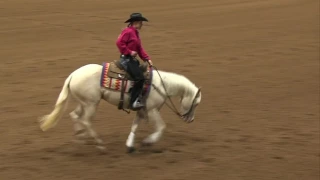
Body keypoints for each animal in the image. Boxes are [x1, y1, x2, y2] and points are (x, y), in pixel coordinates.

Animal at [38, 62, 201, 153]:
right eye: (196, 103)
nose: (191, 120)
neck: (161, 85)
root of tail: (72, 75)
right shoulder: (152, 110)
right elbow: (161, 127)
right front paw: (148, 141)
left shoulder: (142, 110)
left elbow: (135, 126)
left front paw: (130, 145)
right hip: (91, 104)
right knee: (85, 120)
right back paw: (100, 145)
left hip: (84, 102)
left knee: (75, 115)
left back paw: (80, 139)